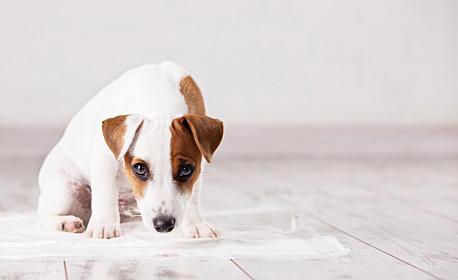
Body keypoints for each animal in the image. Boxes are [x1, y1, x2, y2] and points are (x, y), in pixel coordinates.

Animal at [37, 61, 224, 238]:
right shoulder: (105, 157)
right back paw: (66, 222)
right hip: (64, 190)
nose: (163, 225)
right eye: (139, 168)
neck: (159, 100)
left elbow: (192, 198)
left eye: (186, 170)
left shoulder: (199, 165)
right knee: (42, 213)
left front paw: (196, 225)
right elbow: (106, 191)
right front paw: (103, 225)